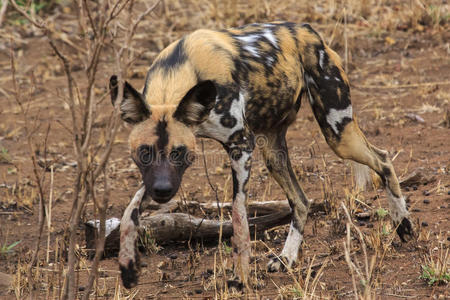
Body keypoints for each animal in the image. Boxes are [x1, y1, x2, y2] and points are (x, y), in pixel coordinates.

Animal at [110, 21, 414, 288]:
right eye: (144, 152)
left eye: (179, 152)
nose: (162, 191)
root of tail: (310, 32)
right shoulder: (153, 177)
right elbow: (128, 213)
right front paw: (127, 267)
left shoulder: (241, 147)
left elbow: (239, 218)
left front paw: (240, 277)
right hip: (273, 152)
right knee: (301, 201)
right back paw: (287, 257)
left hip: (338, 134)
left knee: (383, 159)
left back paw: (403, 225)